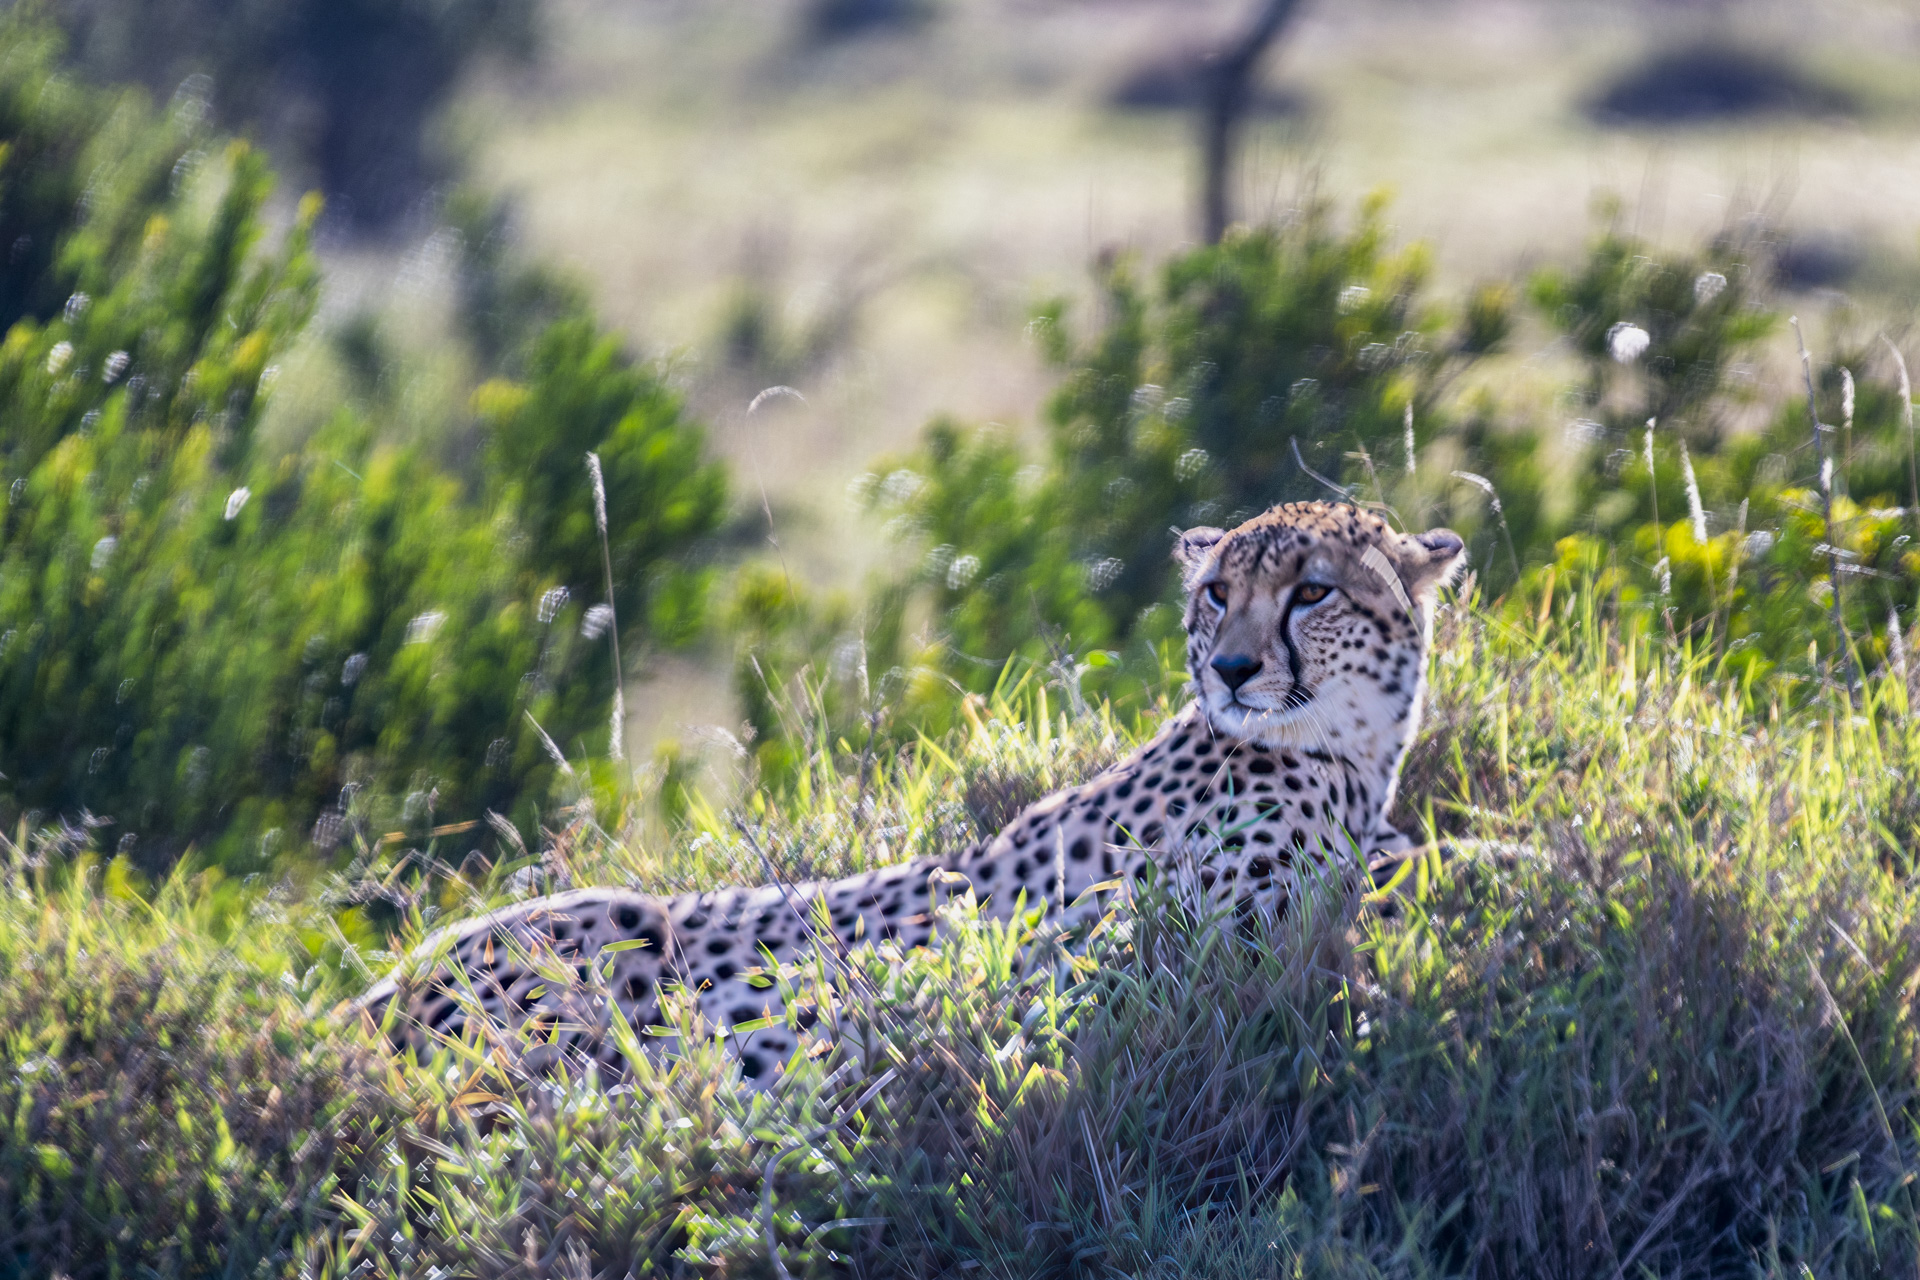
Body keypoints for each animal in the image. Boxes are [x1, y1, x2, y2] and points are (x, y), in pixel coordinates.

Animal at [355, 500, 1466, 1083]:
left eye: (1313, 590)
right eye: (1217, 594)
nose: (1232, 669)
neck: (1346, 754)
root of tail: (371, 1000)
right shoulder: (1138, 962)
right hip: (601, 938)